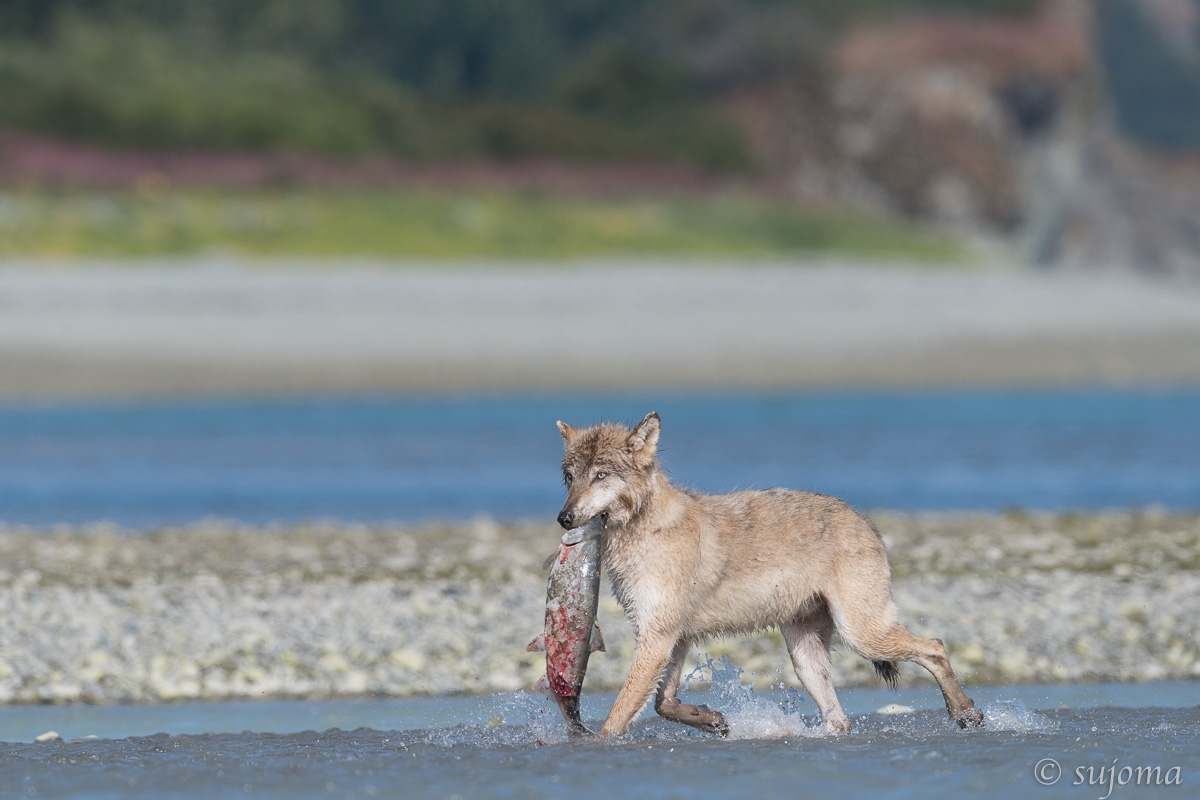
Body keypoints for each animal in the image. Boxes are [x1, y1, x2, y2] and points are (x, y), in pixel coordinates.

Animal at [552, 412, 984, 738]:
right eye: (570, 477)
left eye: (601, 475)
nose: (564, 518)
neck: (645, 528)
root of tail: (864, 519)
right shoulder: (673, 637)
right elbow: (663, 703)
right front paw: (711, 720)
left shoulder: (657, 637)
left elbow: (616, 718)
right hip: (806, 657)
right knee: (840, 719)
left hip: (863, 636)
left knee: (935, 646)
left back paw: (966, 714)